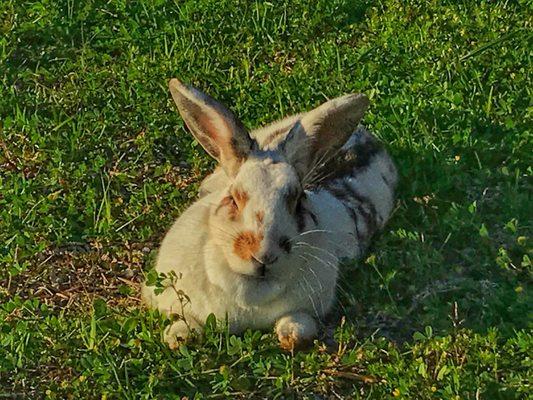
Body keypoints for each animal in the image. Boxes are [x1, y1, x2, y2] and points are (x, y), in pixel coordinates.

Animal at [141, 79, 394, 350]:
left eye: (297, 201)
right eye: (233, 198)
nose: (264, 255)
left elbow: (299, 321)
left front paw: (292, 335)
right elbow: (183, 319)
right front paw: (178, 337)